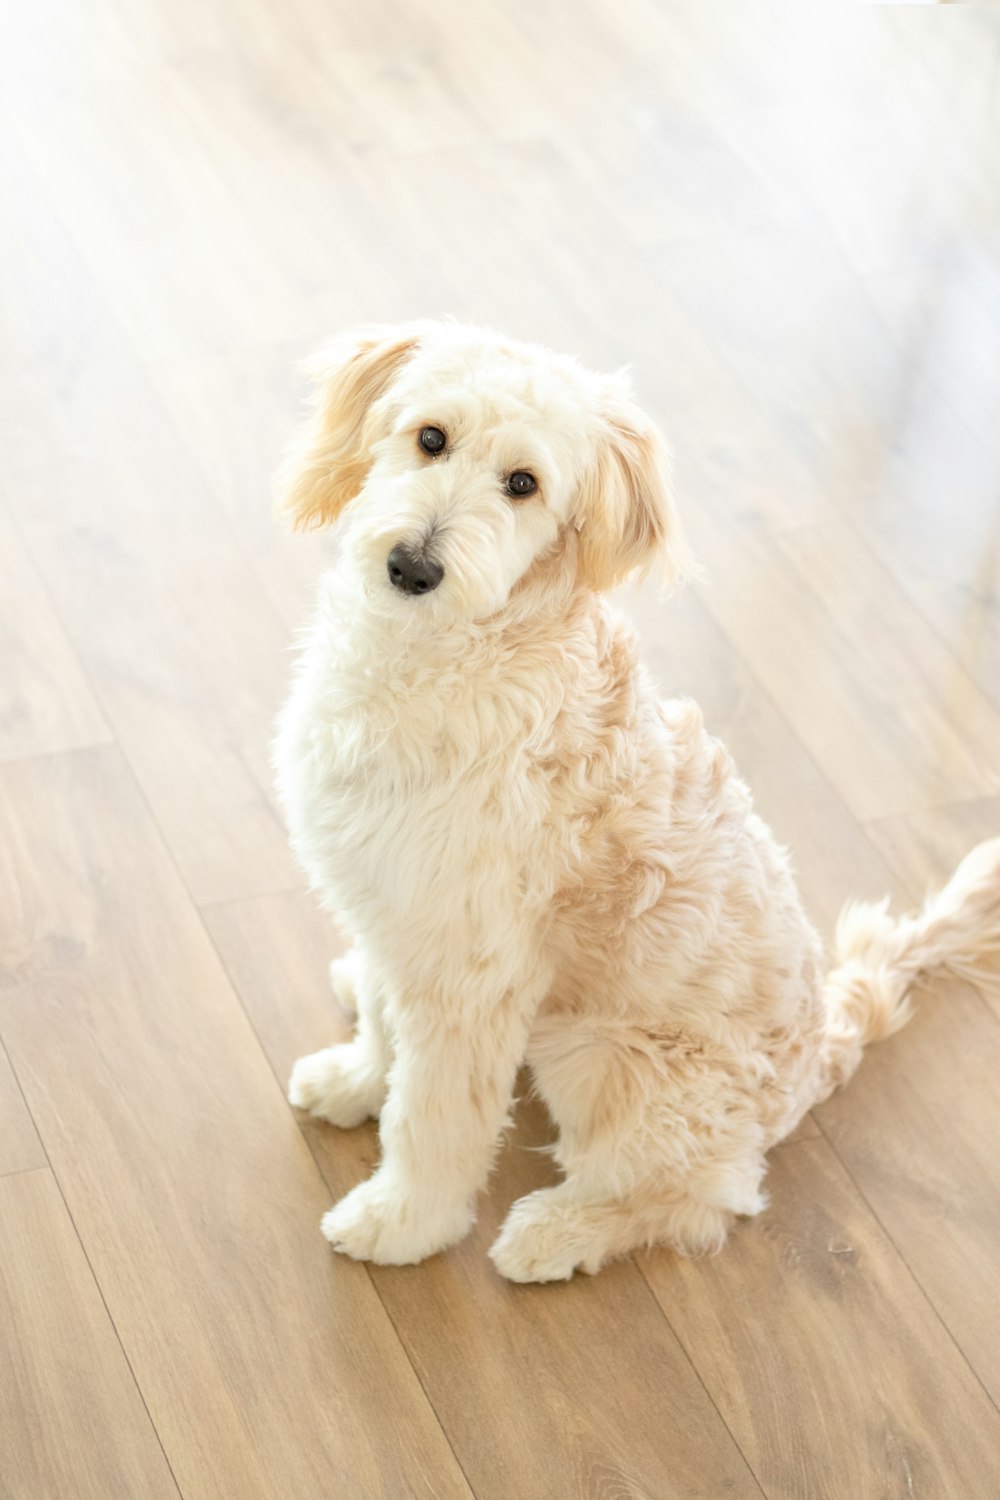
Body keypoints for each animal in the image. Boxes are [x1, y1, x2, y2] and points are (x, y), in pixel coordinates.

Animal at [274, 322, 1000, 1284]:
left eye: (524, 484)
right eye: (430, 437)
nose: (413, 566)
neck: (440, 657)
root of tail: (821, 1054)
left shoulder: (470, 971)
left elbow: (432, 1115)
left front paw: (403, 1221)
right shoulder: (399, 912)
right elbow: (393, 1037)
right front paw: (357, 1079)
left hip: (610, 1065)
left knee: (696, 1200)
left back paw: (556, 1234)